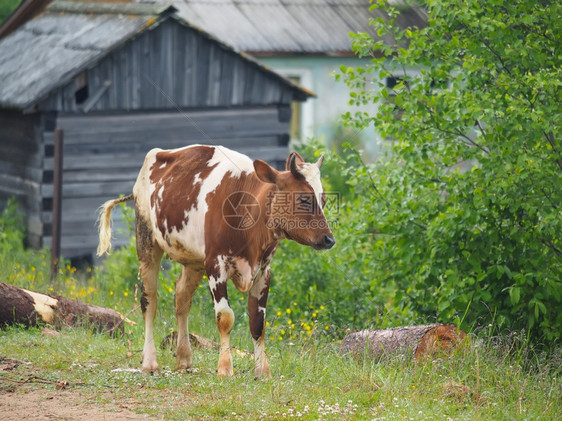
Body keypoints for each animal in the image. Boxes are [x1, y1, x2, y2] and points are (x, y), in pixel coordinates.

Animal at [96, 144, 332, 378]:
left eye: (324, 200)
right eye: (303, 199)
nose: (329, 239)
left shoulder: (264, 270)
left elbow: (258, 323)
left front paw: (262, 370)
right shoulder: (216, 265)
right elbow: (225, 318)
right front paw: (225, 368)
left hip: (194, 261)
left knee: (182, 298)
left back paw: (184, 358)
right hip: (146, 241)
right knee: (149, 301)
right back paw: (150, 361)